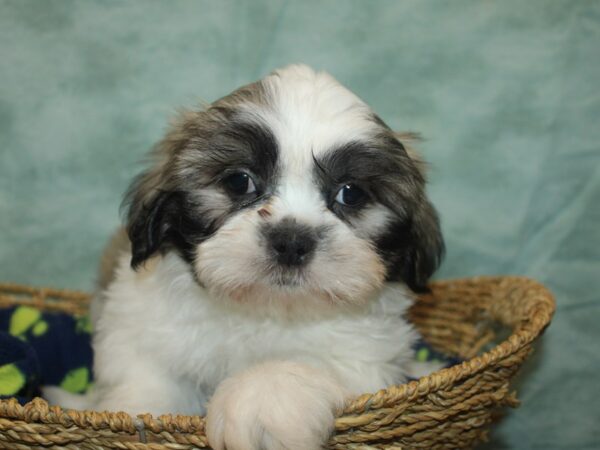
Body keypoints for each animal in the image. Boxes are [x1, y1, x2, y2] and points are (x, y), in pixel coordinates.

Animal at [47, 64, 442, 450]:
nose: (291, 240)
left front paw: (262, 396)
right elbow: (145, 385)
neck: (262, 310)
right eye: (239, 181)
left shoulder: (368, 356)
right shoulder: (141, 332)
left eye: (351, 193)